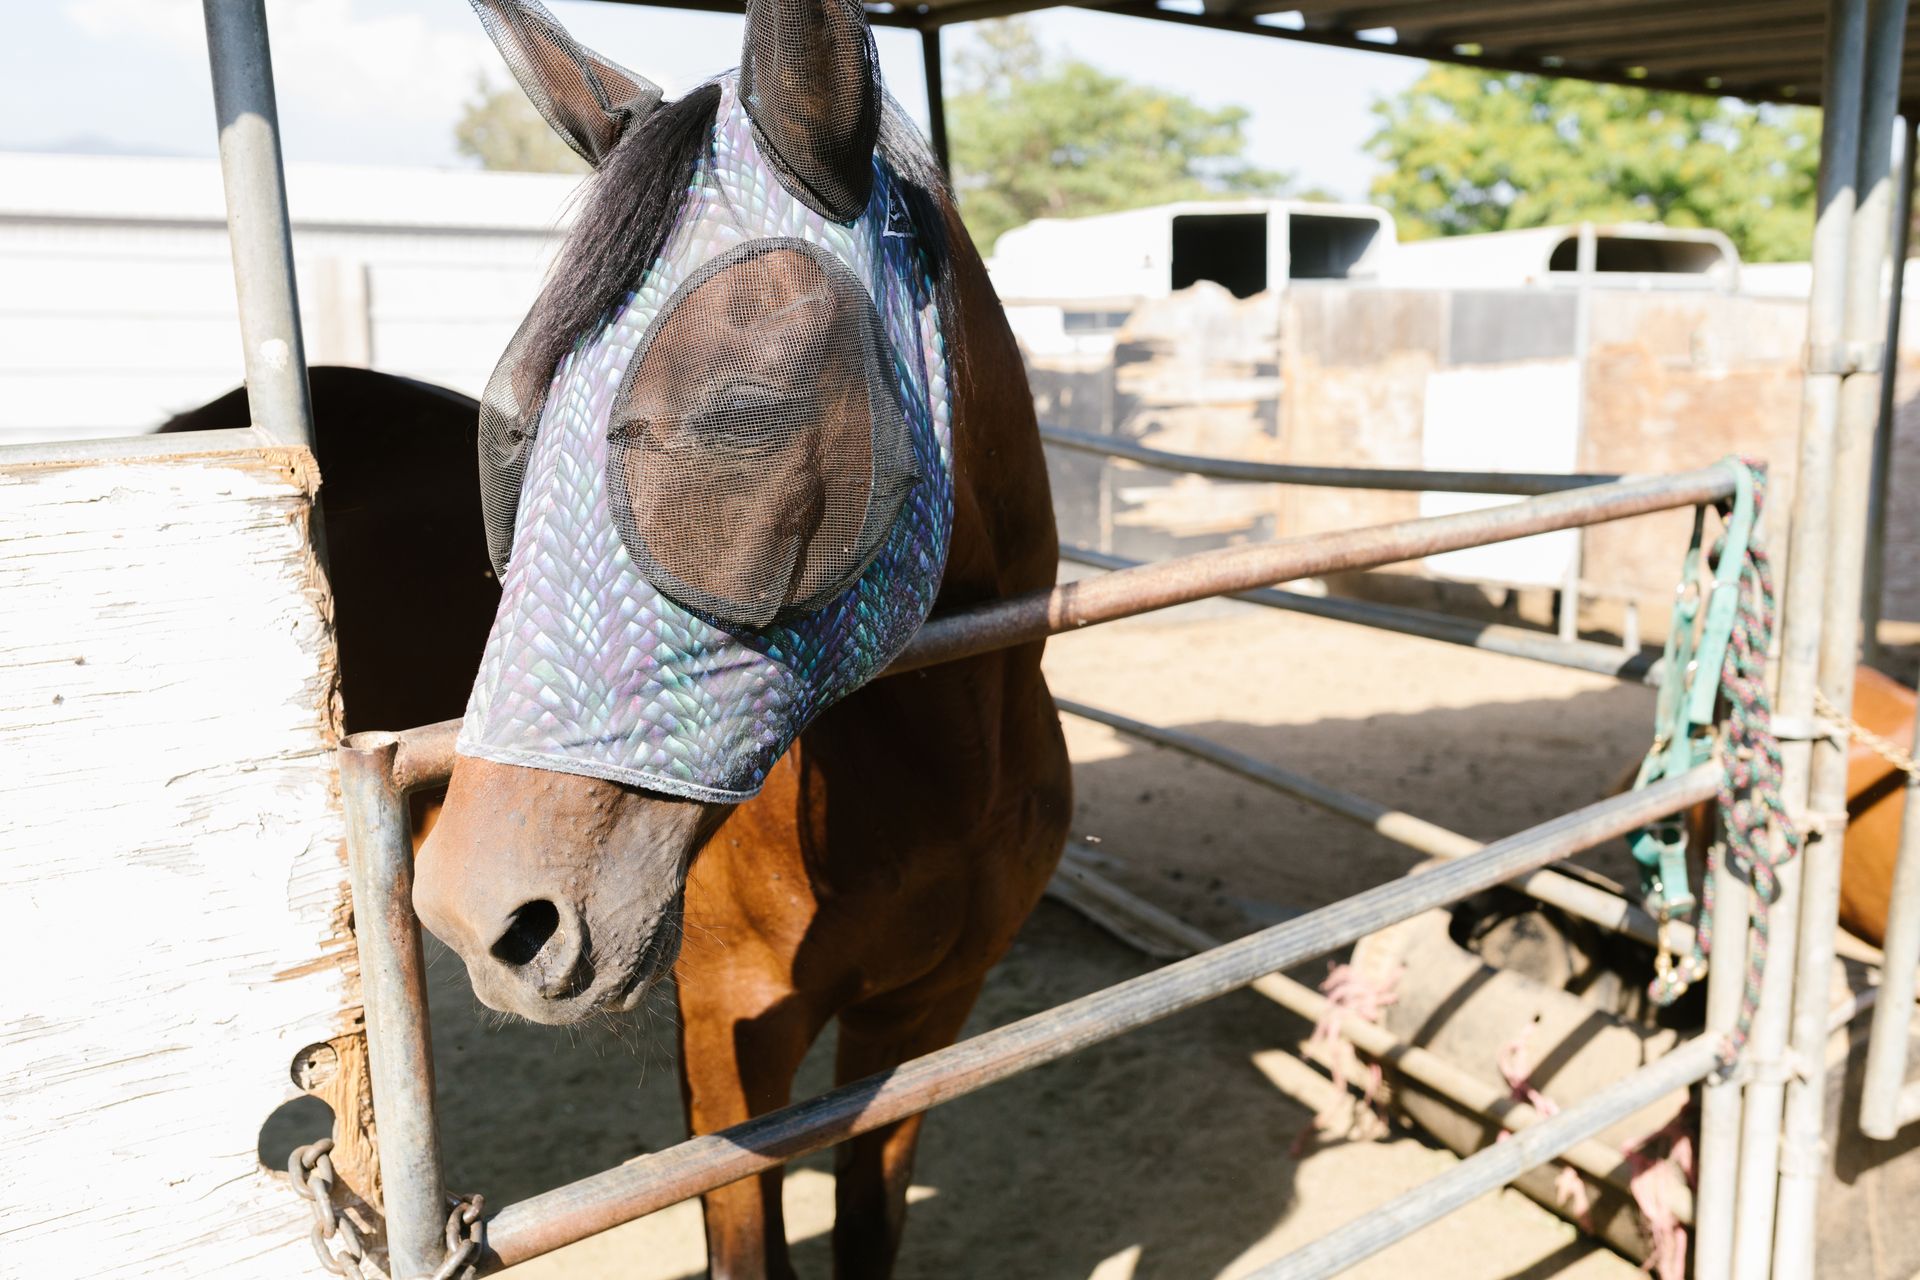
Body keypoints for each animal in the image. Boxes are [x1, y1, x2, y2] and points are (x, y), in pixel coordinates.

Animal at [407, 3, 1072, 1277]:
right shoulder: (726, 1036)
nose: (478, 913)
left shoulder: (926, 1014)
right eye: (509, 434)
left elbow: (869, 1224)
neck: (940, 780)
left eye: (739, 420)